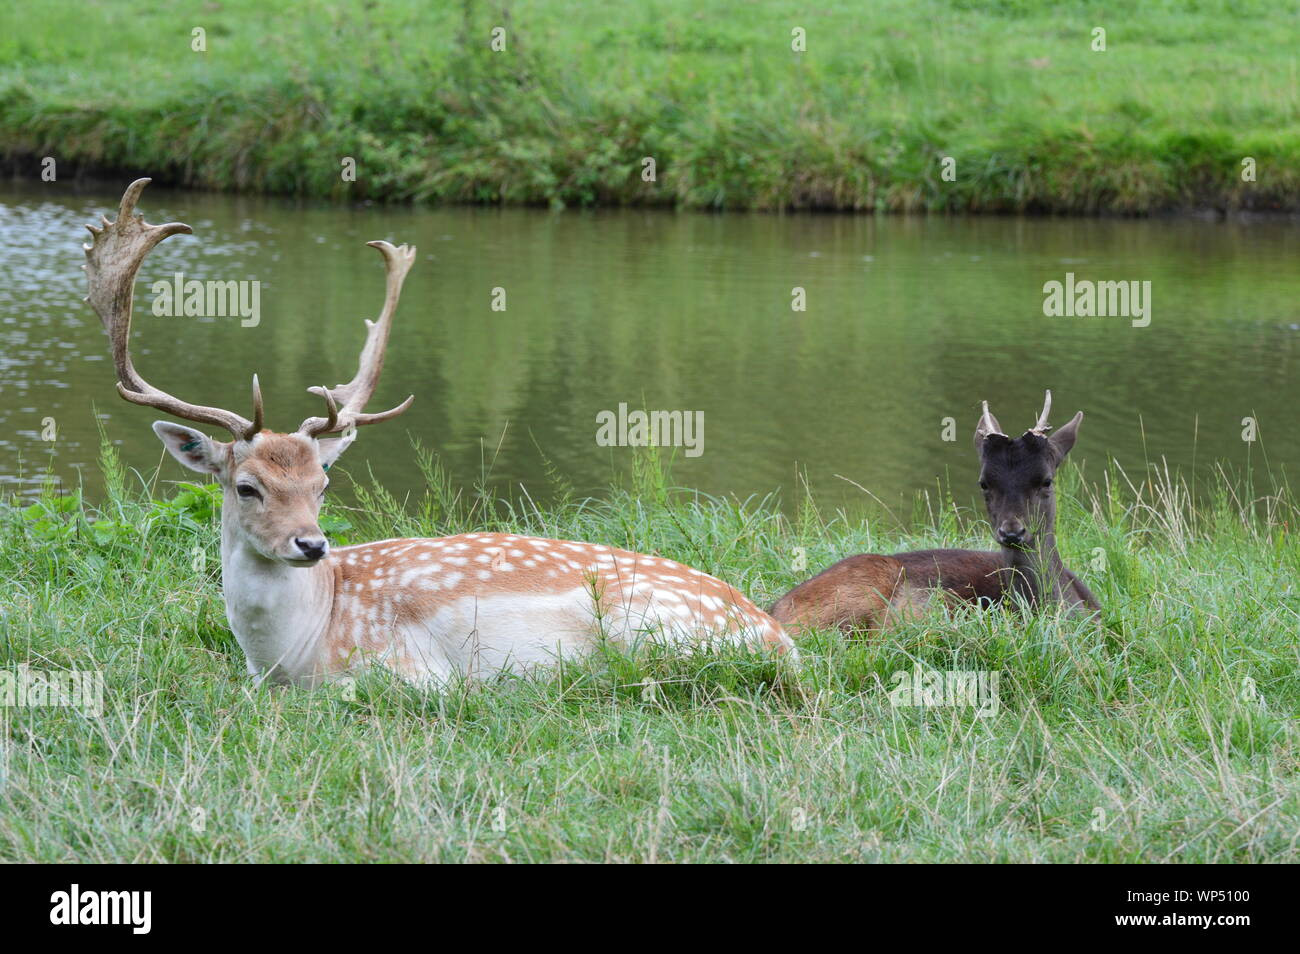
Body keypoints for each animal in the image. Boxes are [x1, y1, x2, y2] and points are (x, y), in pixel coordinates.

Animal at [86, 179, 790, 686]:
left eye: (321, 484)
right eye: (246, 487)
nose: (312, 544)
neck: (293, 653)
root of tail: (776, 635)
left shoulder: (408, 674)